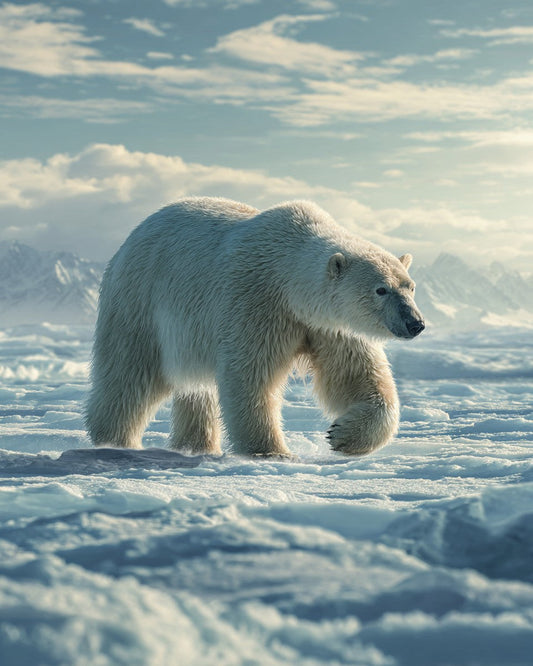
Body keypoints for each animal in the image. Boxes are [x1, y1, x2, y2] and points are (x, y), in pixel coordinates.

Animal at [85, 197, 424, 458]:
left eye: (410, 286)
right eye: (381, 289)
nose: (415, 323)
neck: (288, 278)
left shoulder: (329, 326)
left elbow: (357, 375)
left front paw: (342, 435)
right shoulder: (256, 302)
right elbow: (251, 376)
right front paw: (272, 451)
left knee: (197, 390)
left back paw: (196, 444)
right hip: (140, 302)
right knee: (130, 373)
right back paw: (114, 440)